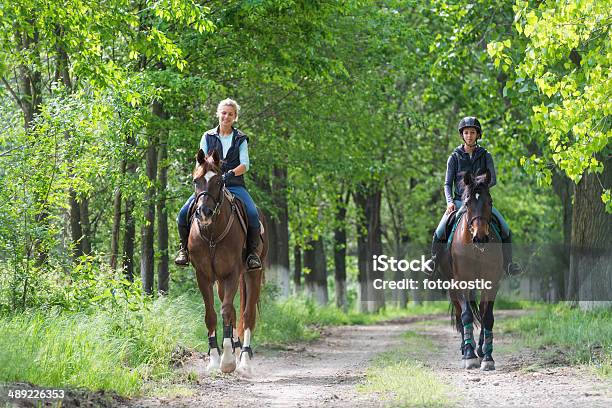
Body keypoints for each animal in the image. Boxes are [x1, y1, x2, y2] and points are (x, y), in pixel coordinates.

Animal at [189, 148, 268, 374]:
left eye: (218, 181)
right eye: (196, 180)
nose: (204, 213)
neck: (212, 234)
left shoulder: (232, 273)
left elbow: (226, 311)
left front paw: (227, 361)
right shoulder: (204, 276)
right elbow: (211, 314)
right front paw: (214, 359)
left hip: (252, 273)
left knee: (247, 315)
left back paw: (245, 361)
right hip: (221, 282)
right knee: (233, 311)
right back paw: (236, 349)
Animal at [444, 168, 502, 370]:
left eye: (490, 202)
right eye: (467, 202)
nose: (480, 237)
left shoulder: (492, 282)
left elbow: (487, 317)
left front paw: (487, 357)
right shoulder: (461, 282)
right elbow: (466, 315)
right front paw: (469, 356)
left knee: (482, 312)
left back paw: (480, 350)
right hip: (452, 289)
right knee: (460, 315)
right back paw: (466, 350)